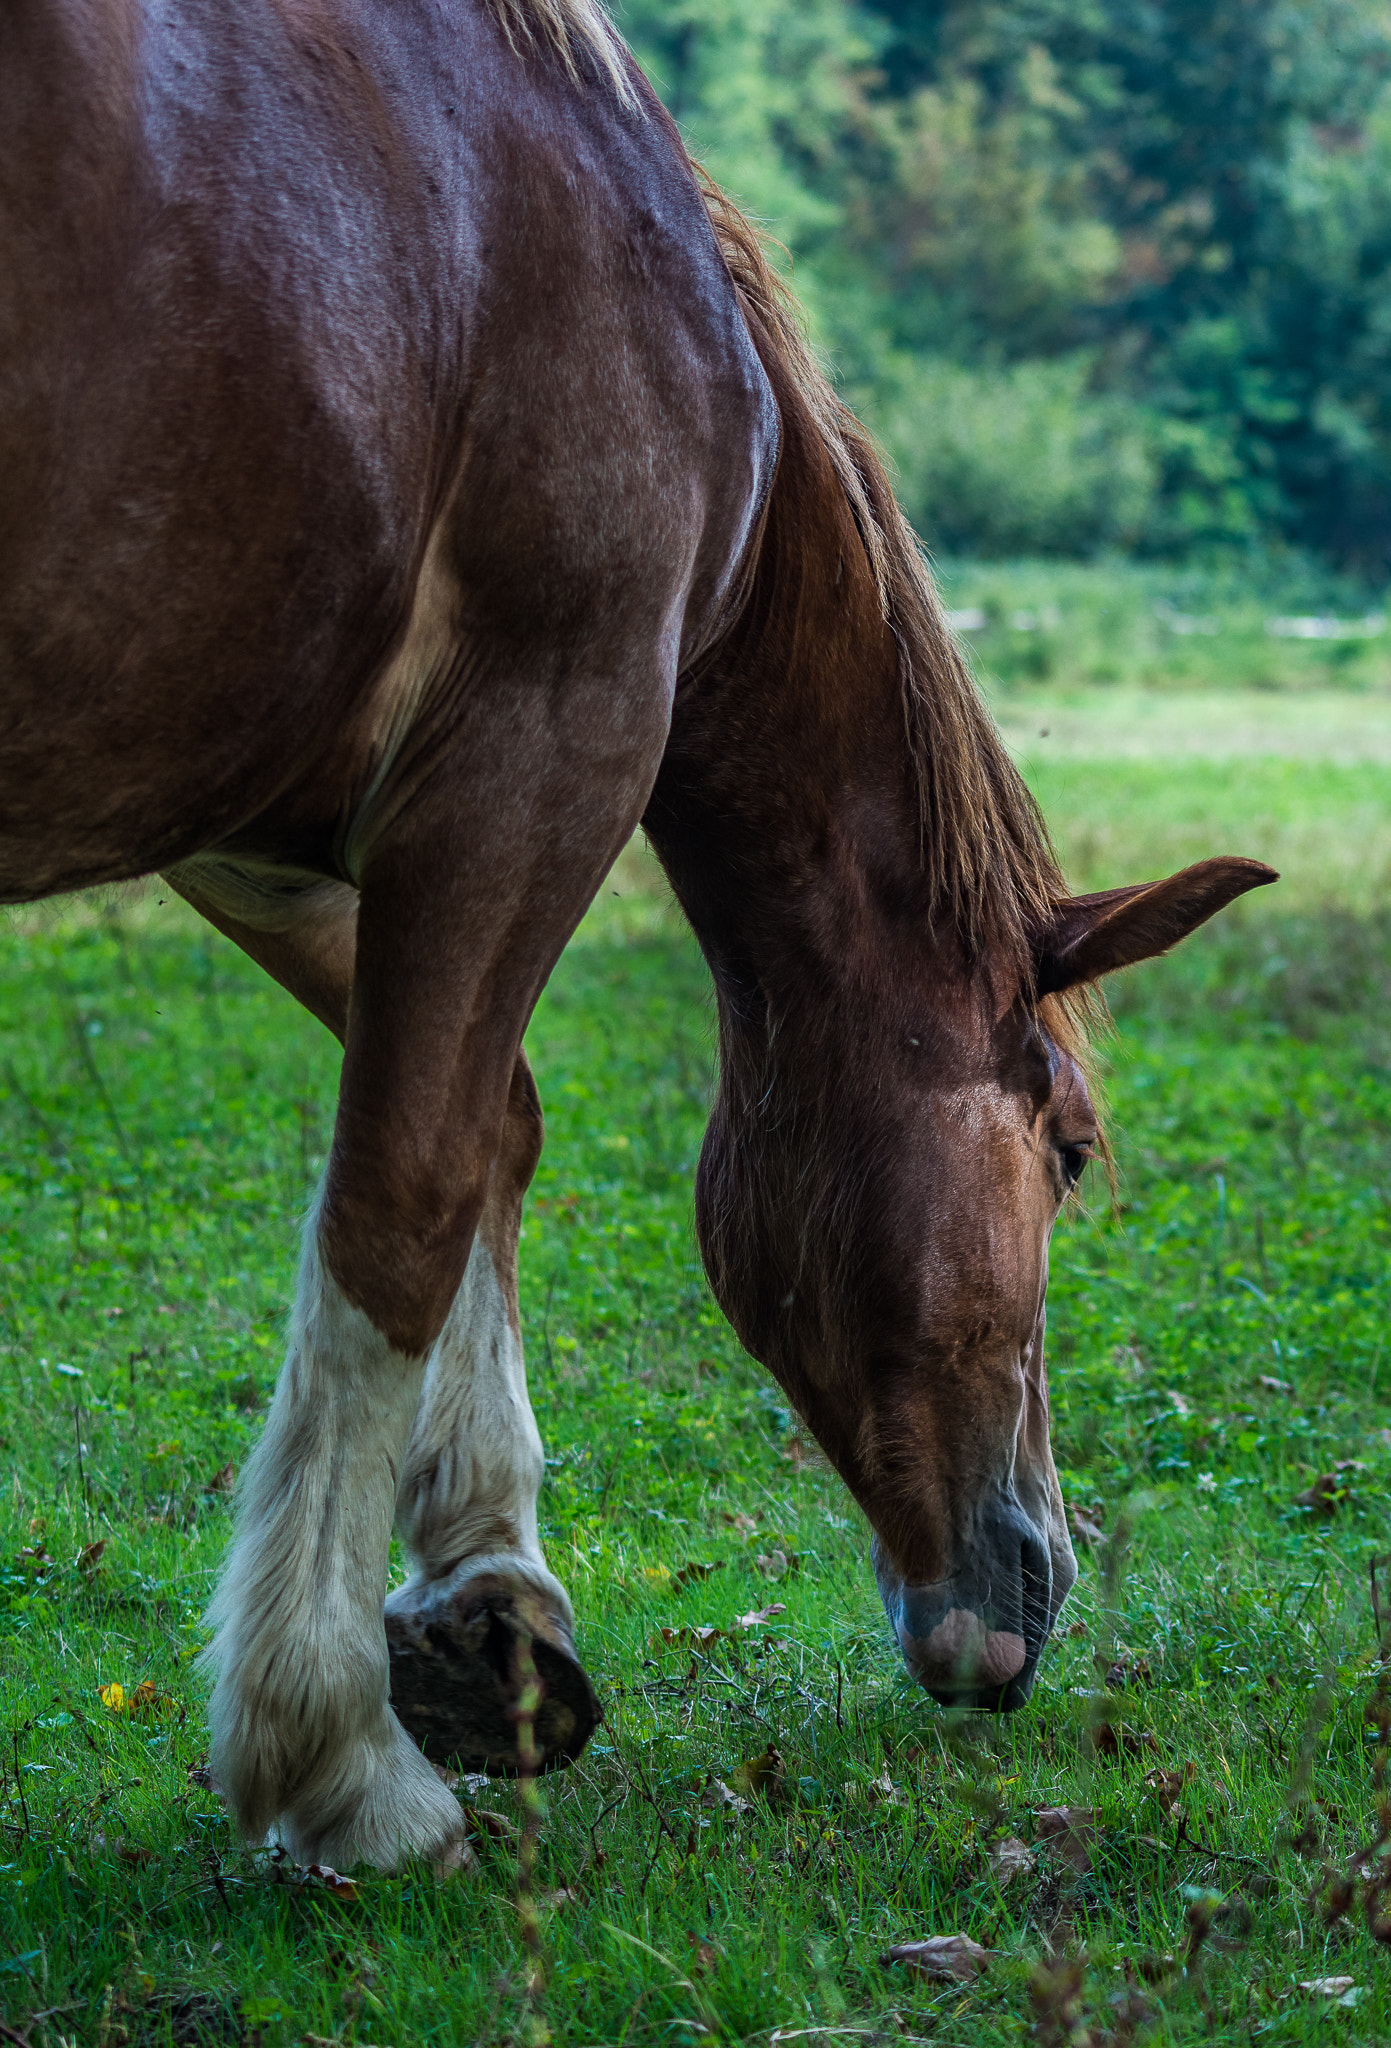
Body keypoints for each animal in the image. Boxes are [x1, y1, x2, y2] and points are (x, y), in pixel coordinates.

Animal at [0, 0, 1274, 1873]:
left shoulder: (264, 825)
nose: (1033, 1584)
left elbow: (492, 1126)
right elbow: (404, 1193)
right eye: (1066, 1152)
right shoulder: (543, 743)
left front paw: (488, 1588)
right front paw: (339, 1749)